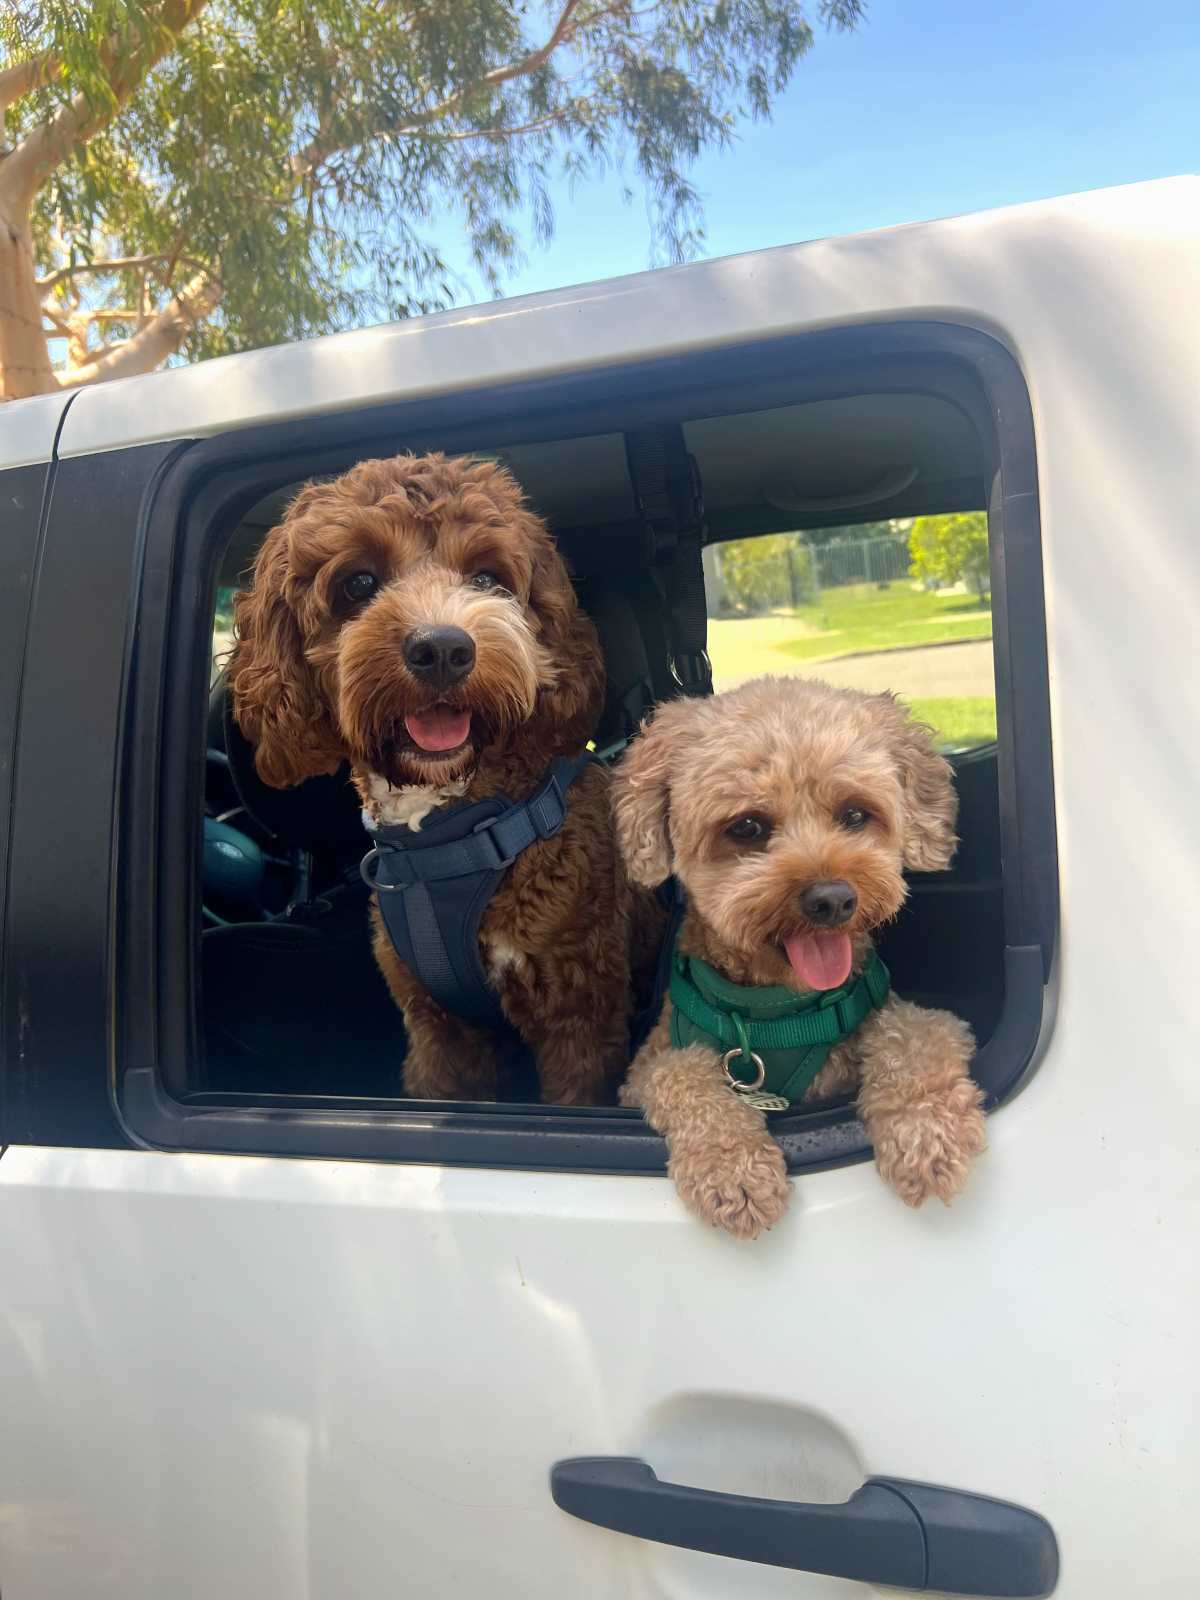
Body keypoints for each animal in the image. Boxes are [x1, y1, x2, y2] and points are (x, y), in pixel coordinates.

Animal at [228, 448, 633, 1100]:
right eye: (359, 583)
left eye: (487, 579)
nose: (442, 649)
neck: (451, 830)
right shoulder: (436, 1026)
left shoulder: (581, 1018)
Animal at [614, 675, 992, 1235]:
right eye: (747, 827)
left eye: (854, 814)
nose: (833, 899)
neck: (774, 1008)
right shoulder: (646, 1069)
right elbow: (683, 1078)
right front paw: (734, 1170)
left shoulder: (910, 1016)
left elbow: (915, 1035)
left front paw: (927, 1134)